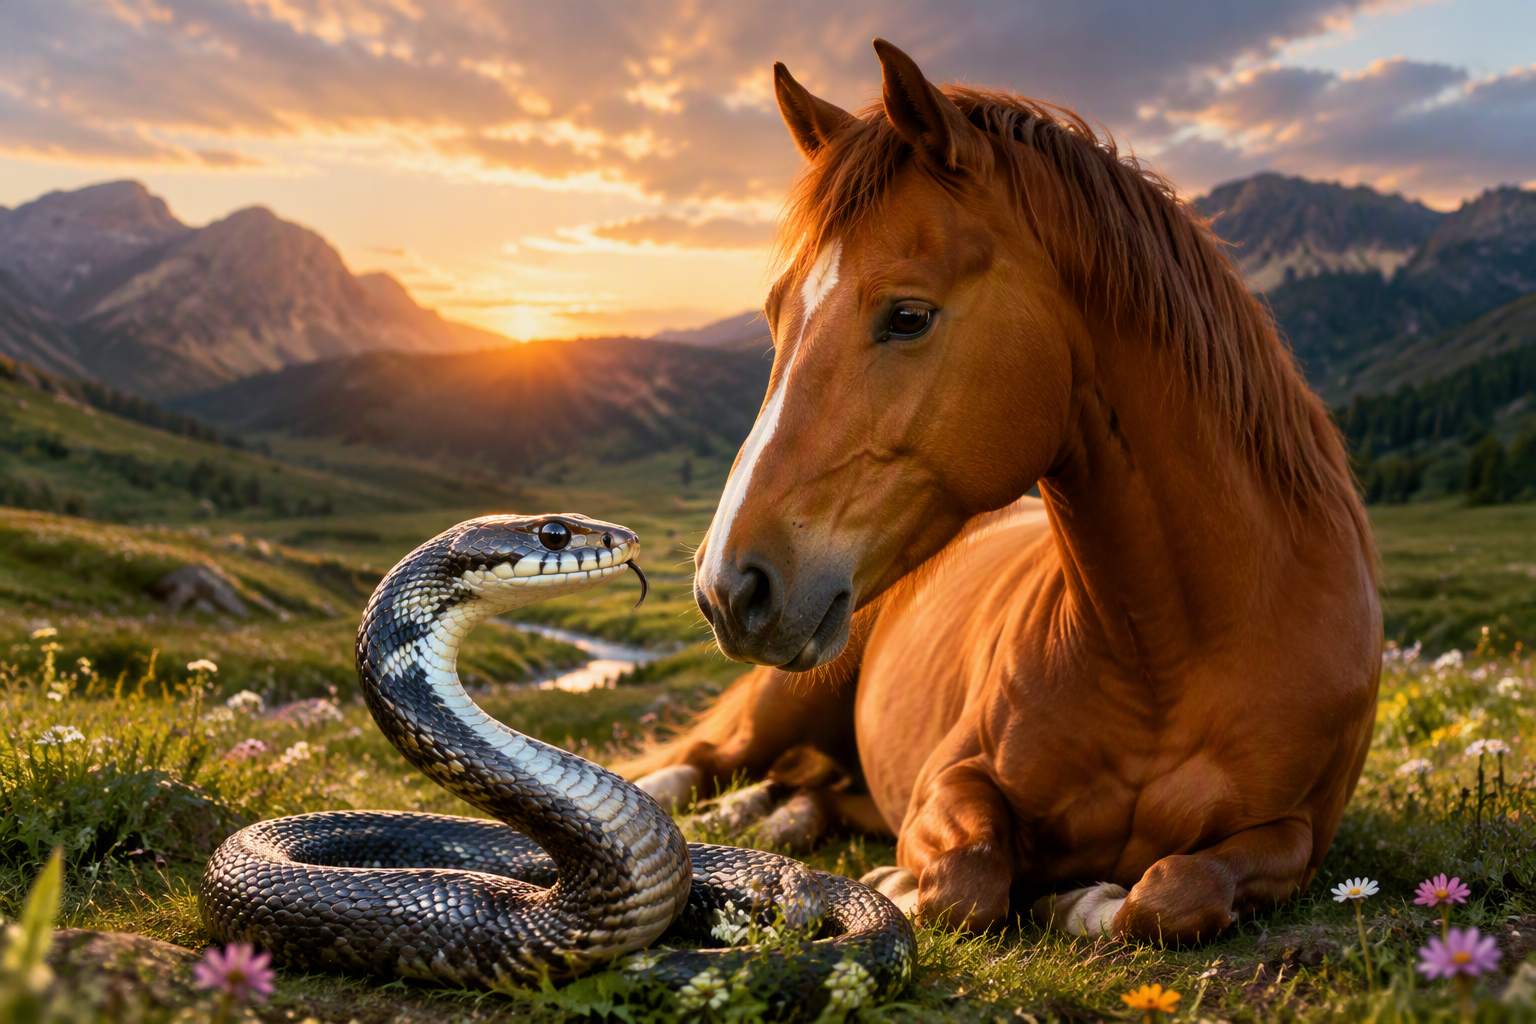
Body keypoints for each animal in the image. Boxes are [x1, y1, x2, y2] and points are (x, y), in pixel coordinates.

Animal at [619, 39, 1381, 941]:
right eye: (775, 314)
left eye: (908, 315)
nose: (726, 586)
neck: (1172, 655)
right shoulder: (953, 779)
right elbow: (969, 879)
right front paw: (909, 883)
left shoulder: (1298, 834)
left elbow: (1177, 892)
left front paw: (1087, 897)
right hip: (788, 697)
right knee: (709, 760)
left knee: (809, 790)